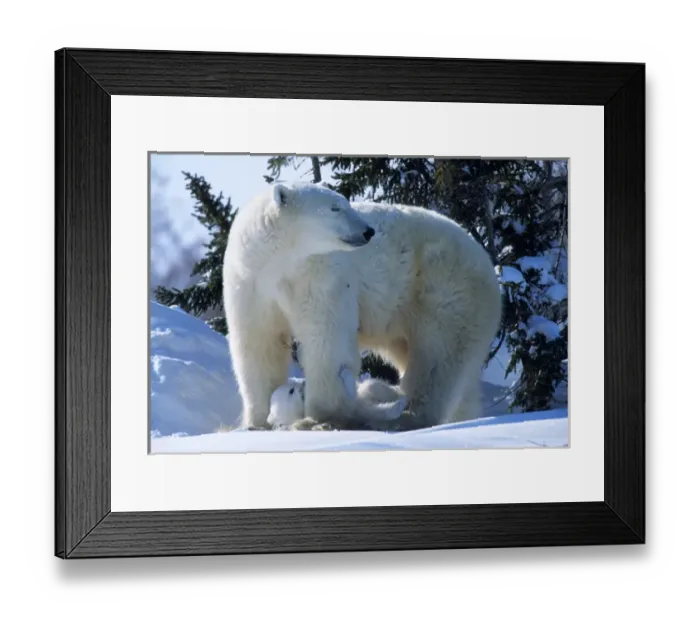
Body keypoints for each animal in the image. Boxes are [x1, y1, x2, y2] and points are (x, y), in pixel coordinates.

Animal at [267, 371, 408, 431]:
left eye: (291, 383)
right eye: (291, 391)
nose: (303, 382)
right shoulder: (345, 414)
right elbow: (371, 411)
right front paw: (399, 405)